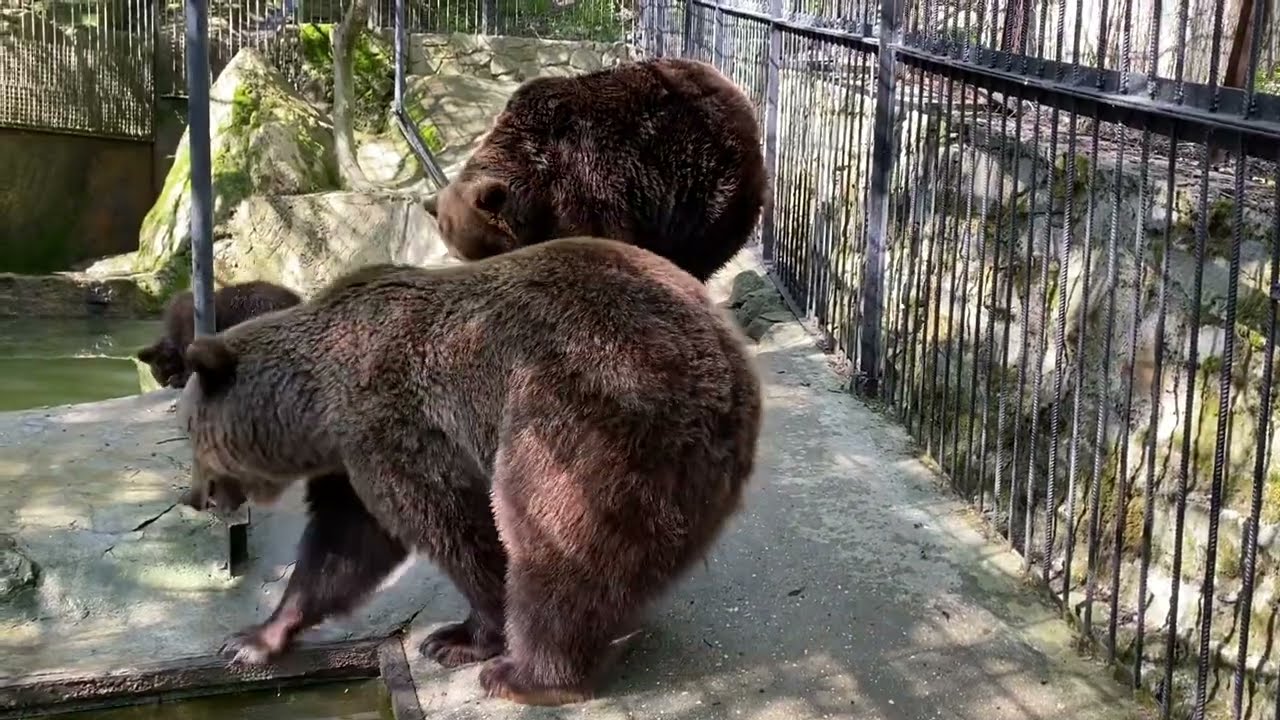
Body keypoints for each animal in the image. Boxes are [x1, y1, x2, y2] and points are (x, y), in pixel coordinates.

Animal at [175, 237, 763, 706]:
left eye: (187, 432)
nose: (195, 496)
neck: (315, 407)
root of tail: (723, 374)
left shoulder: (393, 427)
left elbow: (449, 528)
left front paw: (458, 637)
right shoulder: (352, 457)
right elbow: (342, 546)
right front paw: (252, 639)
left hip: (585, 413)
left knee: (553, 542)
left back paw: (527, 676)